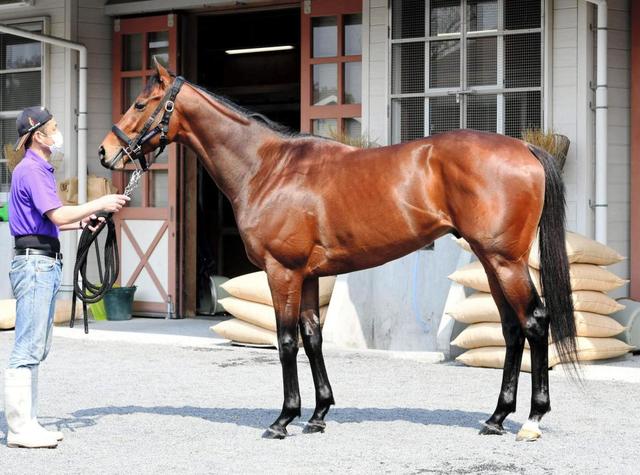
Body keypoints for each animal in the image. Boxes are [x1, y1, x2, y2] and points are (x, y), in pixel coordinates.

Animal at [99, 60, 578, 441]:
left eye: (140, 104)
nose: (106, 152)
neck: (268, 169)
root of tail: (524, 147)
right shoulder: (308, 276)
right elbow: (313, 338)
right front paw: (318, 414)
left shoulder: (283, 272)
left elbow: (286, 341)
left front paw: (283, 419)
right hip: (492, 261)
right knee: (512, 329)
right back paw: (496, 418)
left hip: (504, 261)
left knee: (534, 323)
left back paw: (532, 420)